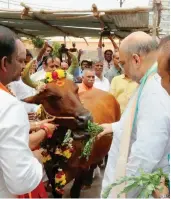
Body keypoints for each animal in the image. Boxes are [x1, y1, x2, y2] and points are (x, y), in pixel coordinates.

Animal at [21, 60, 120, 197]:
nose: (86, 118)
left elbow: (75, 191)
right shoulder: (49, 169)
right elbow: (56, 191)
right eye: (51, 96)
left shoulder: (81, 169)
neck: (56, 145)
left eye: (76, 89)